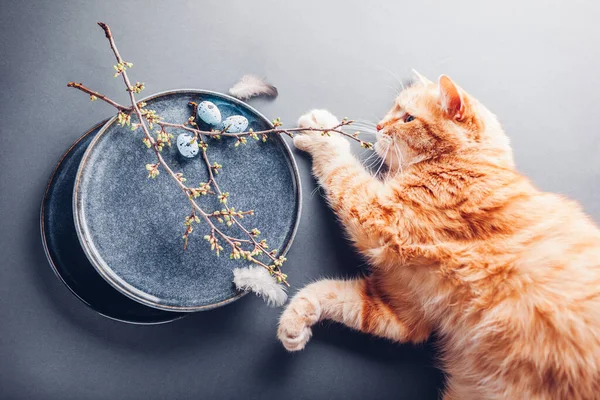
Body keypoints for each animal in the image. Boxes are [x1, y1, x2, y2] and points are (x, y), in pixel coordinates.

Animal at [278, 73, 600, 398]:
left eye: (408, 118)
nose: (379, 126)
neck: (464, 162)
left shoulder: (379, 213)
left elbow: (340, 168)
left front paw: (321, 133)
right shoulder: (402, 309)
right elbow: (330, 293)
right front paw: (297, 320)